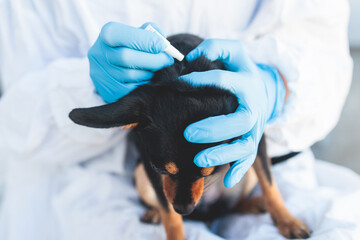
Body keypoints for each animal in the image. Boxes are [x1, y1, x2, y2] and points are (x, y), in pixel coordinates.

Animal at [69, 33, 310, 238]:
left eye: (210, 171)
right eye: (160, 169)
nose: (183, 209)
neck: (184, 73)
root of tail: (204, 216)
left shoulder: (256, 141)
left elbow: (270, 185)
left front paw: (287, 221)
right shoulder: (150, 168)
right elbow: (169, 215)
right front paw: (172, 225)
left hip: (245, 172)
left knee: (229, 206)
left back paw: (255, 204)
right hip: (139, 173)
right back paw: (156, 213)